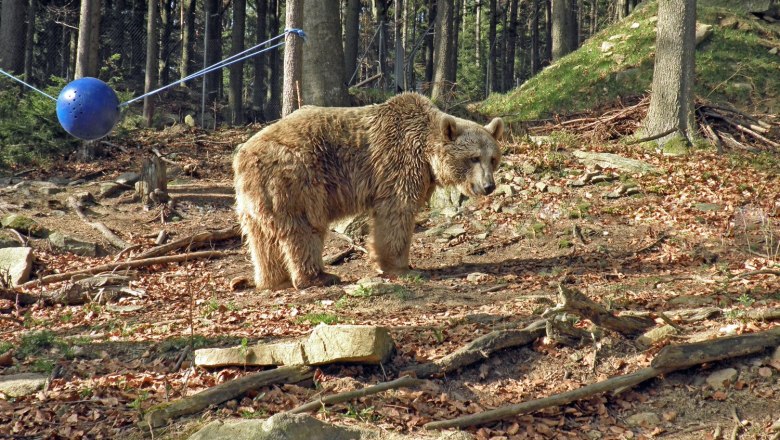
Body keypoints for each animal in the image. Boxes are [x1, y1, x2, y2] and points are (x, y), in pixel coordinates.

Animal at [232, 92, 502, 290]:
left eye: (493, 158)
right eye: (474, 158)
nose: (488, 186)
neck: (427, 155)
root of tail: (244, 155)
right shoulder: (398, 163)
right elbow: (396, 214)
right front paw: (399, 266)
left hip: (254, 196)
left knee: (261, 238)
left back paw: (273, 280)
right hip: (295, 179)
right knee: (305, 229)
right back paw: (317, 276)